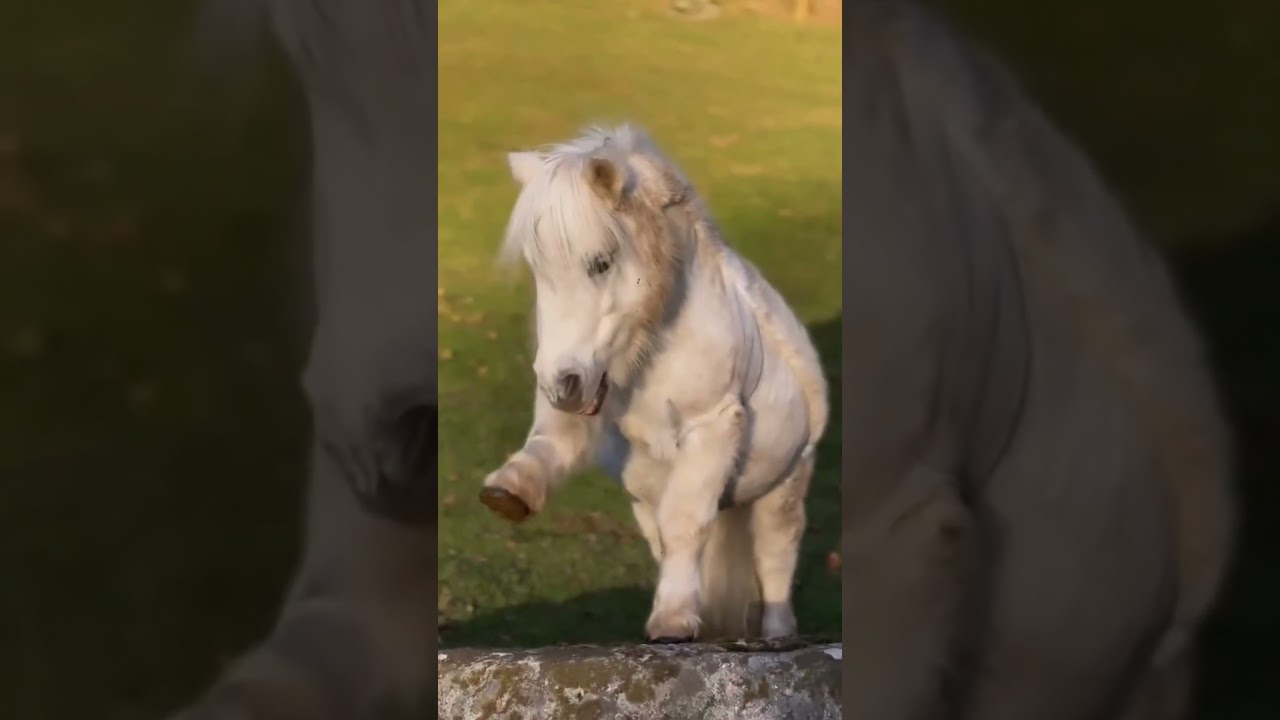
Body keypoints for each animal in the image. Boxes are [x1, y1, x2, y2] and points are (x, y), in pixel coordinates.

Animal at [476, 123, 830, 642]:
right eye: (539, 269)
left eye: (601, 263)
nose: (562, 384)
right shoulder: (594, 414)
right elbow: (552, 443)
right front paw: (509, 491)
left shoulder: (710, 428)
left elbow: (685, 524)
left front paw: (673, 621)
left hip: (783, 488)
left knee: (775, 563)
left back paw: (778, 637)